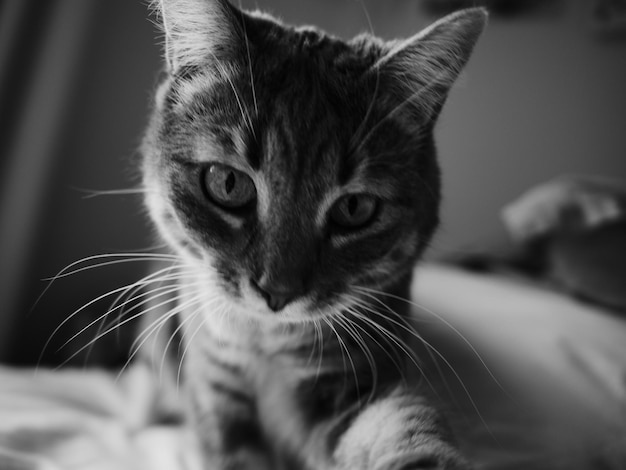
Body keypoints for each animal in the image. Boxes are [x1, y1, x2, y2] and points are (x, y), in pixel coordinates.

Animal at [139, 1, 486, 468]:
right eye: (228, 183)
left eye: (354, 209)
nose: (277, 293)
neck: (267, 344)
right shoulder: (215, 388)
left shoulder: (359, 377)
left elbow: (399, 426)